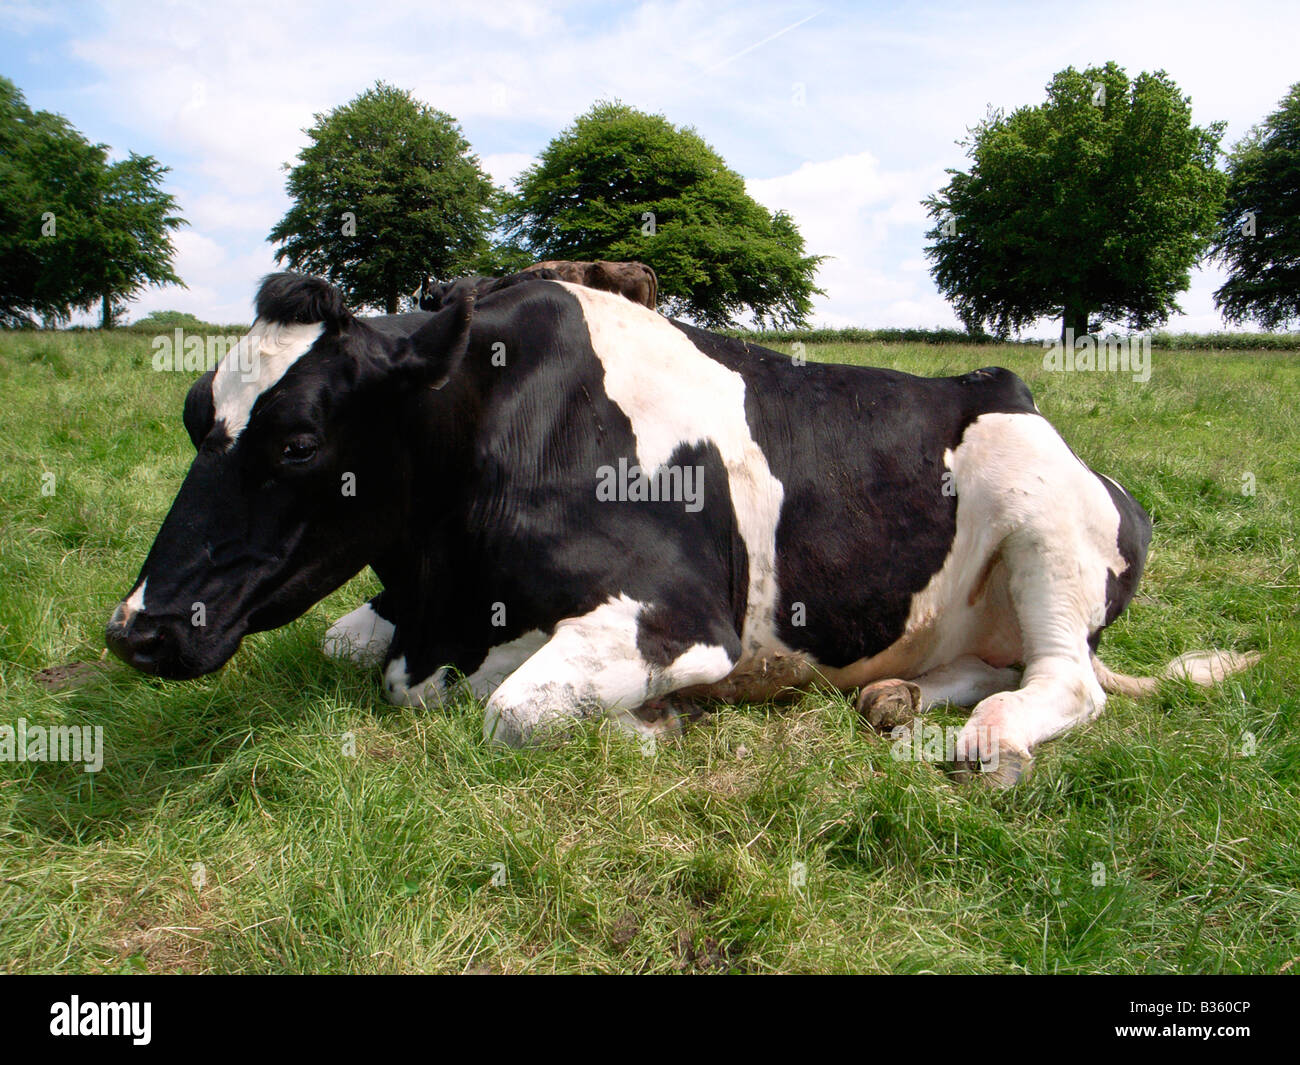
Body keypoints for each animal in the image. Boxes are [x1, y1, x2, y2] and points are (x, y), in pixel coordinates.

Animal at [105, 271, 1257, 786]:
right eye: (194, 415)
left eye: (299, 441)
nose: (139, 628)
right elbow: (349, 643)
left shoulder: (679, 613)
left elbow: (510, 712)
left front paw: (659, 722)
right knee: (980, 661)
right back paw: (895, 698)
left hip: (1034, 502)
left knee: (1065, 679)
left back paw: (990, 736)